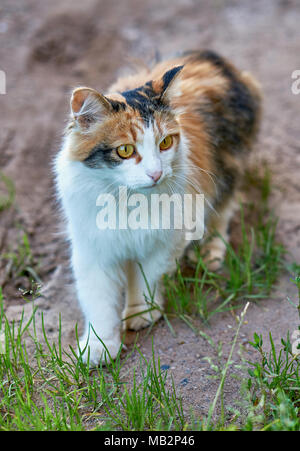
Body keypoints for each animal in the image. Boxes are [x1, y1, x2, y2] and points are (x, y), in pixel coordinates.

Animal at [55, 50, 262, 368]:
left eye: (165, 143)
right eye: (125, 150)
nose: (156, 174)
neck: (128, 201)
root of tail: (209, 56)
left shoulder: (166, 240)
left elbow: (146, 279)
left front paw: (142, 313)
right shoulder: (93, 250)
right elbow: (100, 305)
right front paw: (99, 347)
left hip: (226, 173)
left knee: (222, 213)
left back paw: (210, 253)